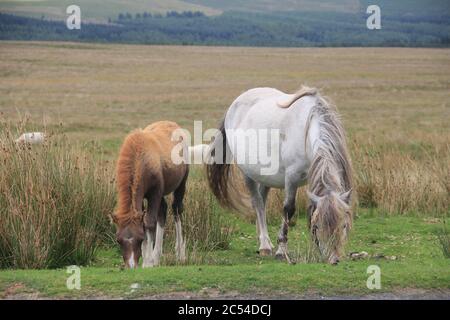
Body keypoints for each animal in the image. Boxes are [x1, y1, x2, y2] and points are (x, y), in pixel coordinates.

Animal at [206, 86, 354, 264]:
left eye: (344, 225)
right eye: (317, 226)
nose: (334, 259)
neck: (308, 127)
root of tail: (234, 104)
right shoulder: (291, 177)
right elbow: (288, 209)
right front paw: (281, 249)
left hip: (264, 175)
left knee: (262, 201)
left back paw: (263, 239)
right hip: (248, 173)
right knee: (257, 202)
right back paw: (265, 245)